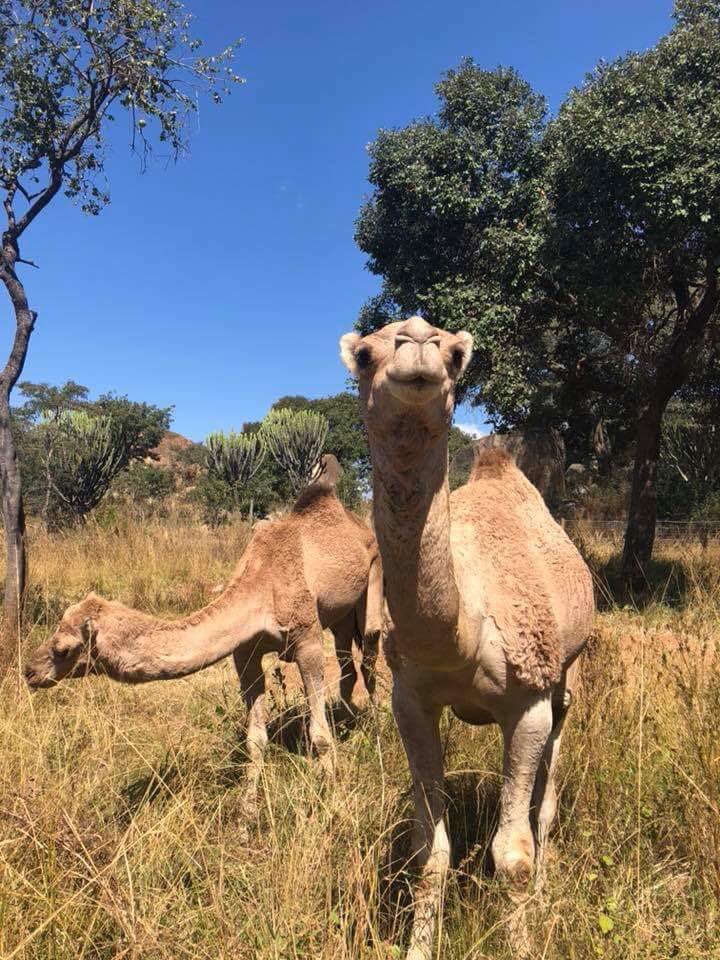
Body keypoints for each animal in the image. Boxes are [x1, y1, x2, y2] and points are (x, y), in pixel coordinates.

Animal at [25, 473, 384, 790]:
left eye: (63, 649)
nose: (29, 671)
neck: (261, 588)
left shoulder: (307, 639)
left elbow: (319, 736)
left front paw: (330, 790)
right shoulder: (245, 654)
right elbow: (254, 740)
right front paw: (247, 811)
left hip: (373, 577)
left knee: (370, 652)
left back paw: (376, 727)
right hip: (340, 617)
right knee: (348, 666)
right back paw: (347, 720)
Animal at [340, 316, 594, 959]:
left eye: (456, 355)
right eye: (364, 354)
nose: (417, 341)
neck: (461, 630)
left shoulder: (528, 702)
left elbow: (512, 855)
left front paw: (522, 939)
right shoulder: (410, 700)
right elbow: (430, 851)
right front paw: (418, 946)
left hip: (569, 673)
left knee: (547, 801)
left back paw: (548, 887)